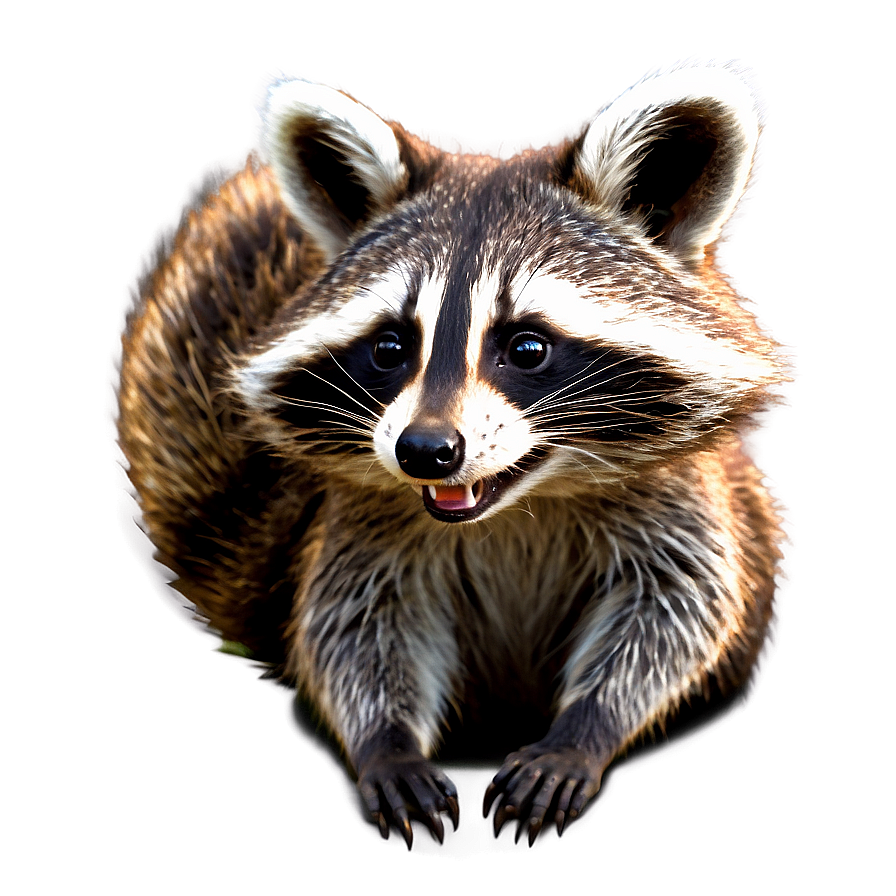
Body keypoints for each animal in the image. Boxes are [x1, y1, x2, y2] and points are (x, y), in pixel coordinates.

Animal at [114, 64, 786, 847]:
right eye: (390, 347)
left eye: (526, 347)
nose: (425, 451)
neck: (516, 509)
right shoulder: (365, 521)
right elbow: (352, 626)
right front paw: (386, 741)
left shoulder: (682, 502)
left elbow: (680, 613)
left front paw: (586, 728)